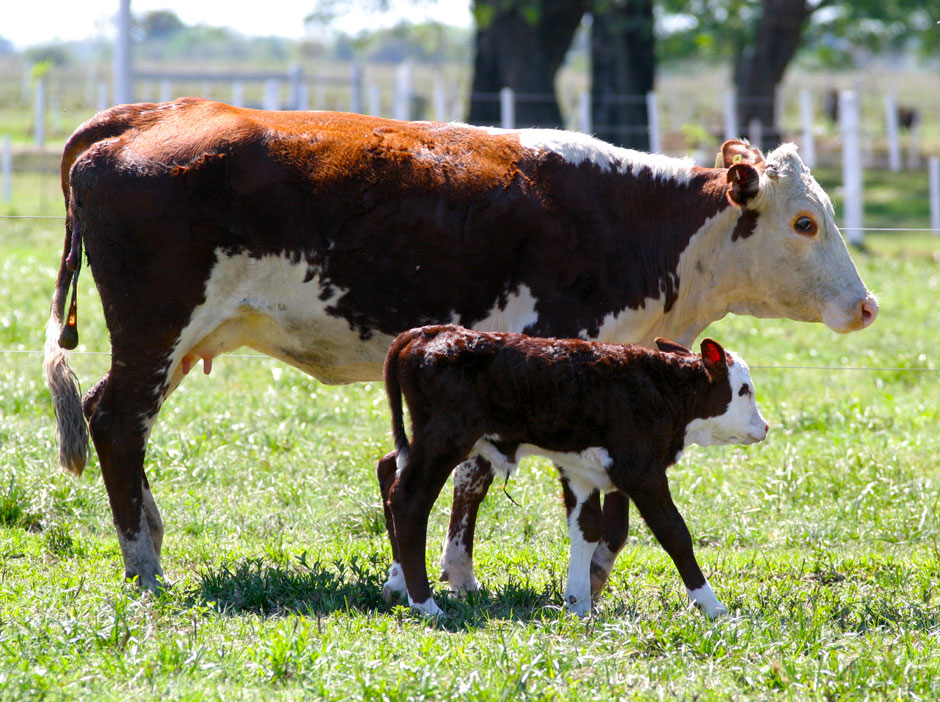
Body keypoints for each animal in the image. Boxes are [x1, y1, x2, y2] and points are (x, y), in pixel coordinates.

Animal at [378, 328, 768, 620]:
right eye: (743, 390)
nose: (764, 427)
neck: (658, 389)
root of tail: (429, 333)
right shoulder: (641, 471)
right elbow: (674, 532)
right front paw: (712, 606)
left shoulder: (581, 473)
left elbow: (587, 529)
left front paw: (578, 603)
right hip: (445, 439)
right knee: (409, 500)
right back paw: (426, 605)